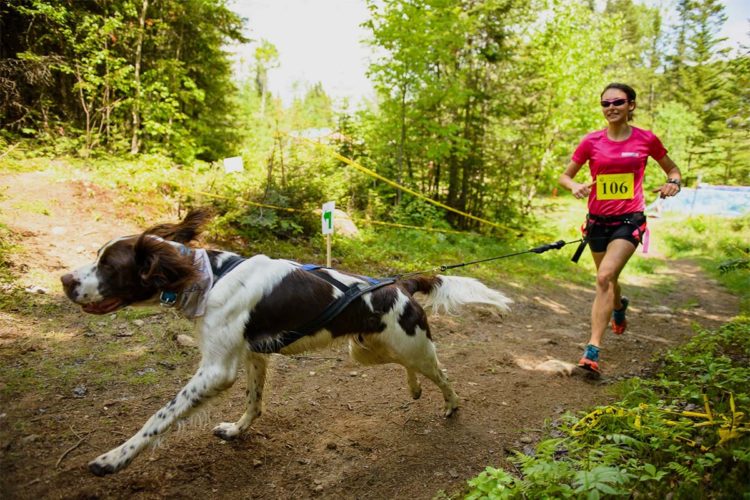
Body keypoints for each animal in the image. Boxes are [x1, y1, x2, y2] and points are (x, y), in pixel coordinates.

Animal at [61, 209, 516, 474]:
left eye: (108, 265)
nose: (65, 280)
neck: (208, 277)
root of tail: (398, 285)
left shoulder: (216, 370)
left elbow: (158, 417)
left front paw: (114, 458)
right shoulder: (251, 356)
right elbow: (254, 403)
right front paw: (237, 430)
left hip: (408, 345)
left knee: (443, 372)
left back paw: (451, 404)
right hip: (365, 349)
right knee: (412, 369)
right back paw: (415, 388)